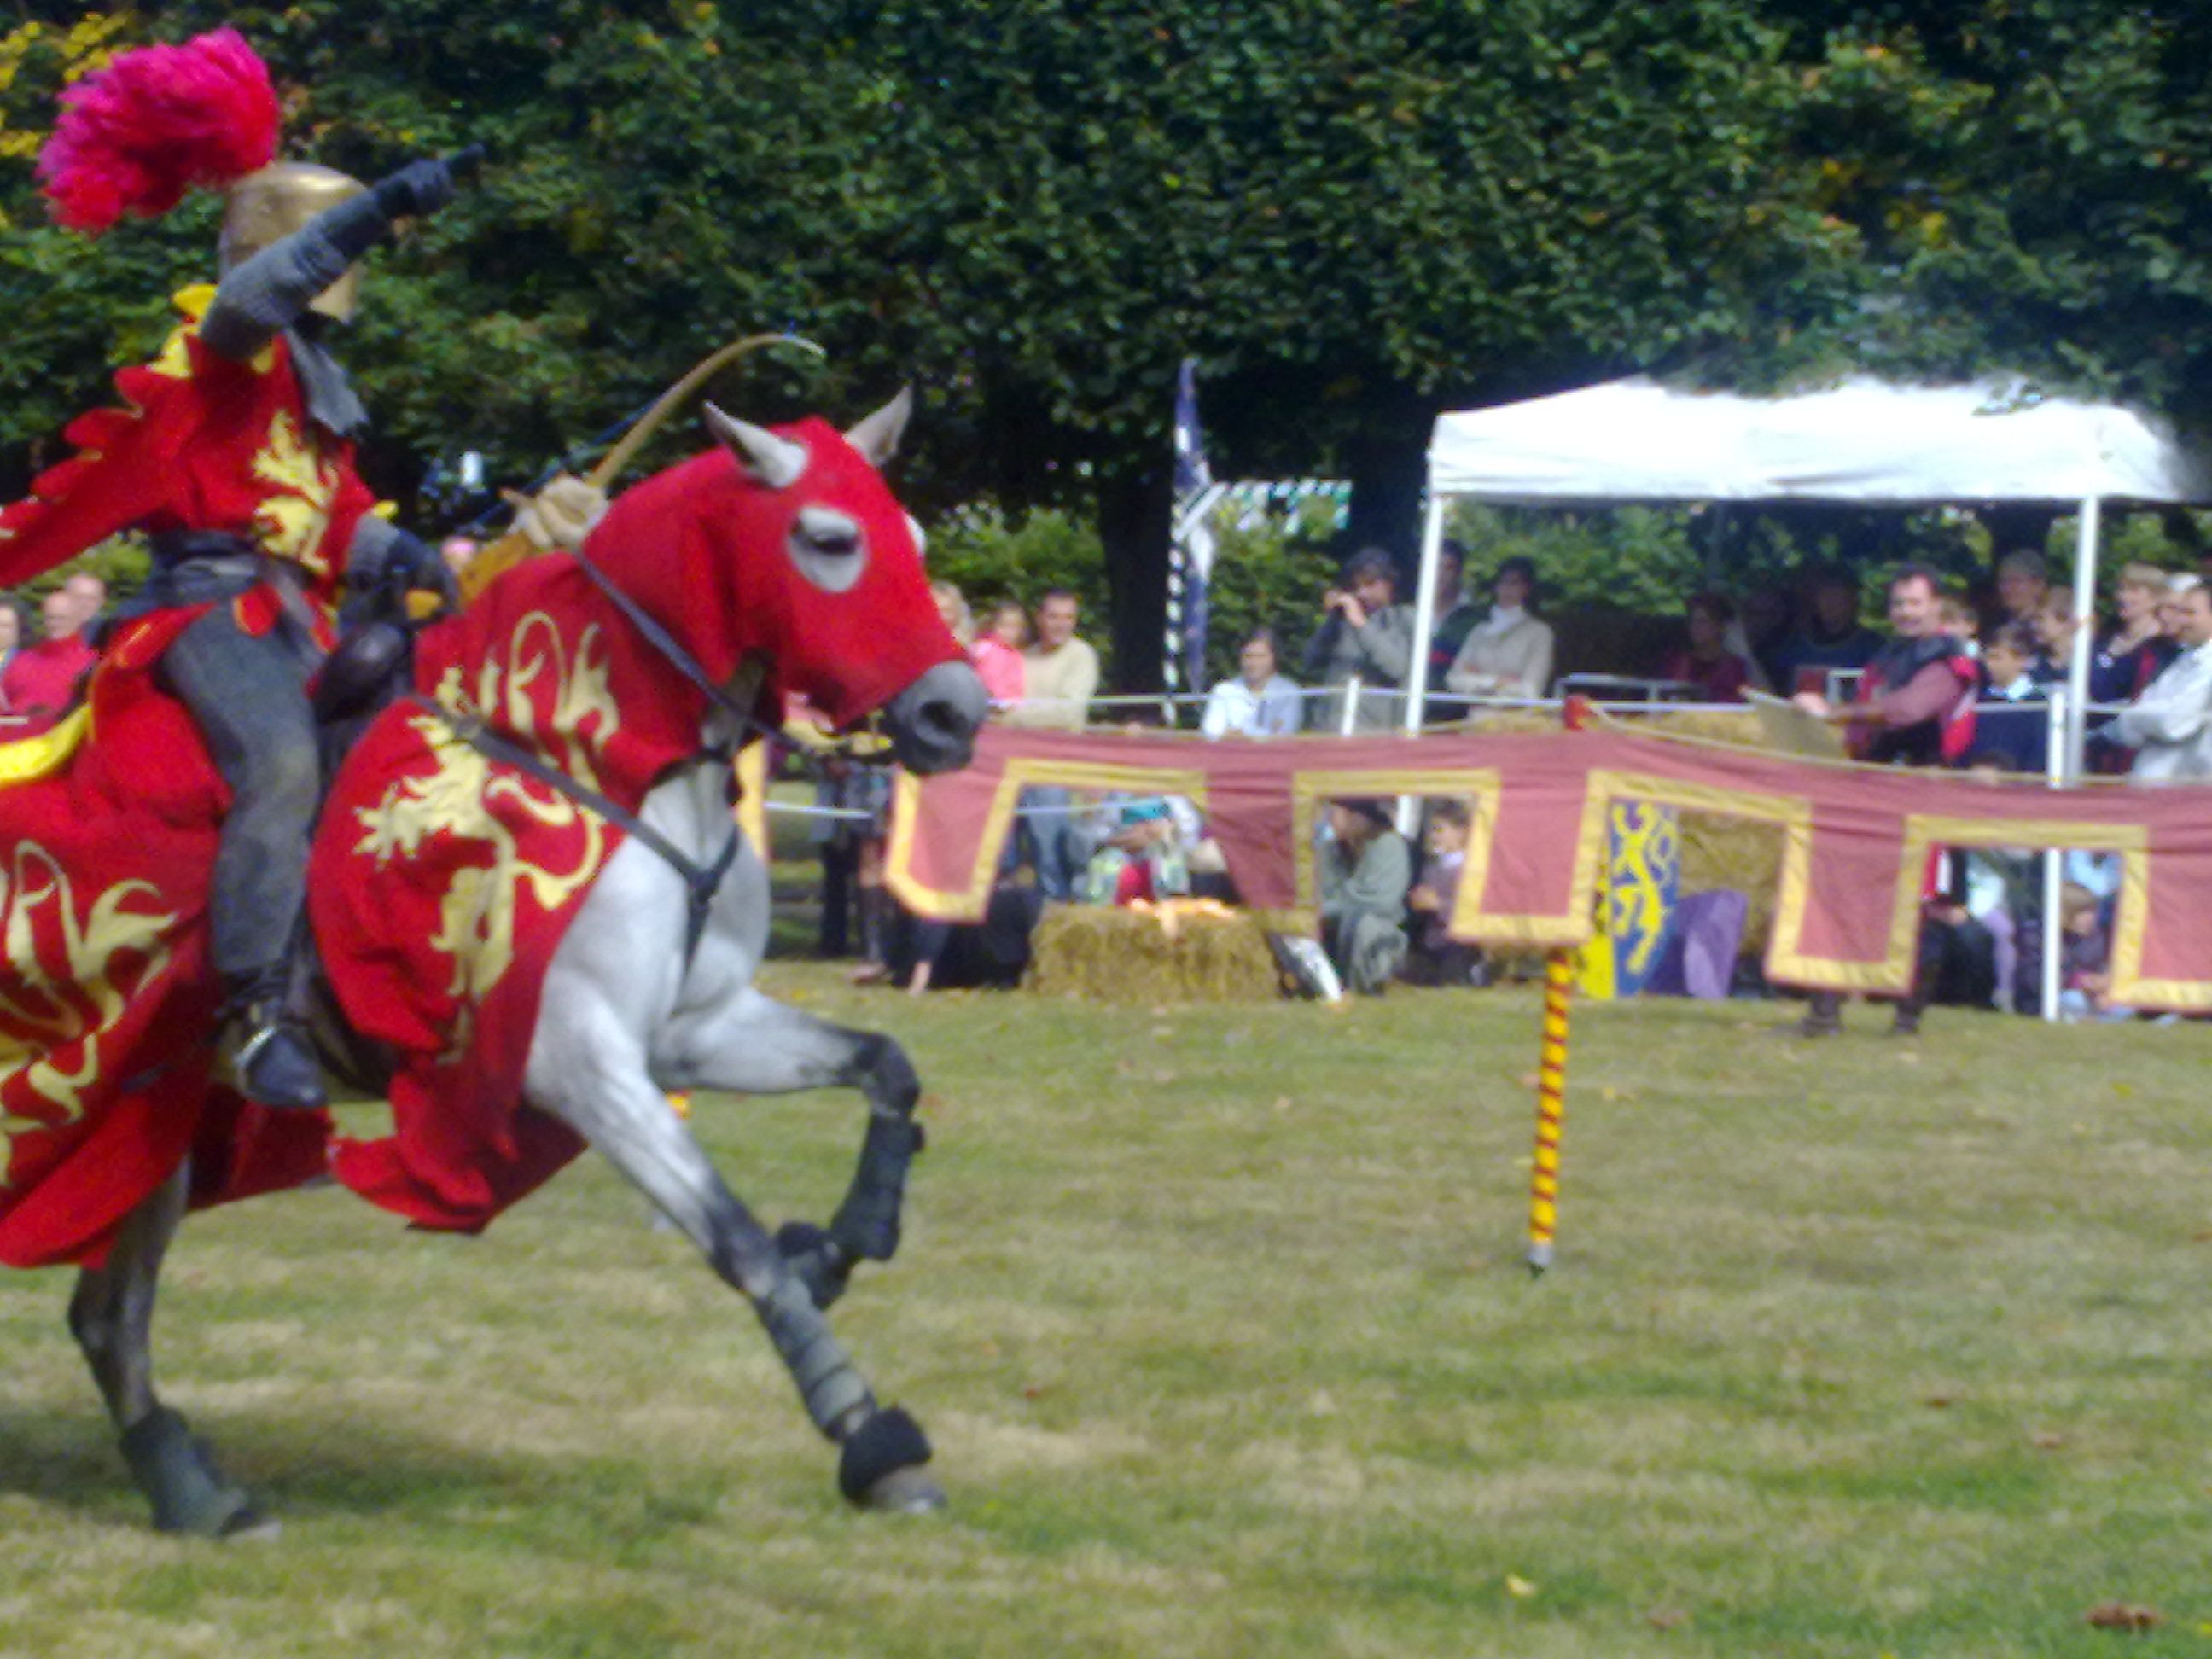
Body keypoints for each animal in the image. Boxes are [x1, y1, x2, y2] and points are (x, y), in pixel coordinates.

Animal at [55, 395, 991, 1540]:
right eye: (829, 539)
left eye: (917, 539)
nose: (955, 714)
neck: (603, 763)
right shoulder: (580, 1064)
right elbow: (738, 1243)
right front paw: (866, 1431)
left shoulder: (696, 1029)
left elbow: (885, 1066)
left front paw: (851, 1238)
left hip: (156, 1112)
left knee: (107, 1313)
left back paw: (193, 1492)